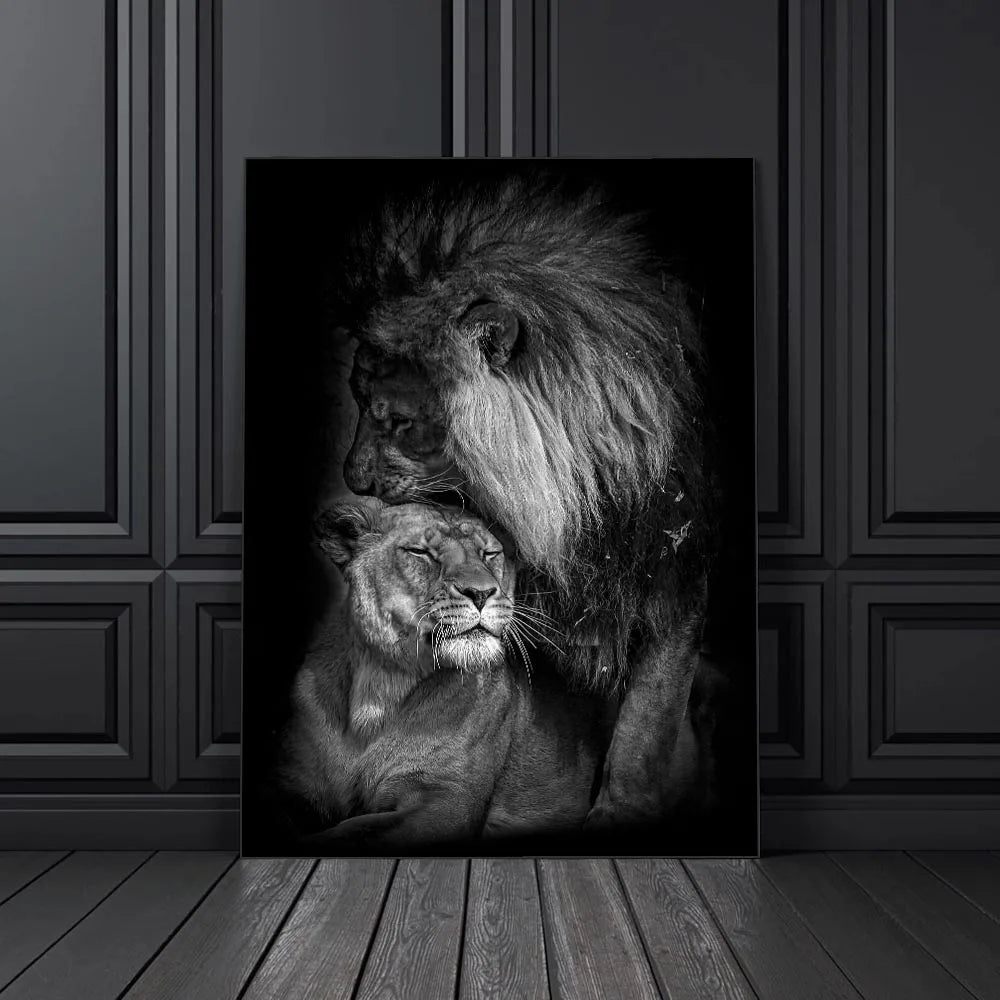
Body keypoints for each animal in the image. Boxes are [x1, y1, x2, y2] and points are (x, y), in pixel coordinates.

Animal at [278, 498, 662, 851]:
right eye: (420, 552)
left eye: (489, 554)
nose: (481, 592)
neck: (380, 688)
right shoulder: (295, 785)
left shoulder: (446, 801)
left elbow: (351, 832)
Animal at [329, 170, 717, 828]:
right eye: (356, 399)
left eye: (398, 420)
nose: (352, 481)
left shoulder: (675, 572)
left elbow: (648, 717)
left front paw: (619, 812)